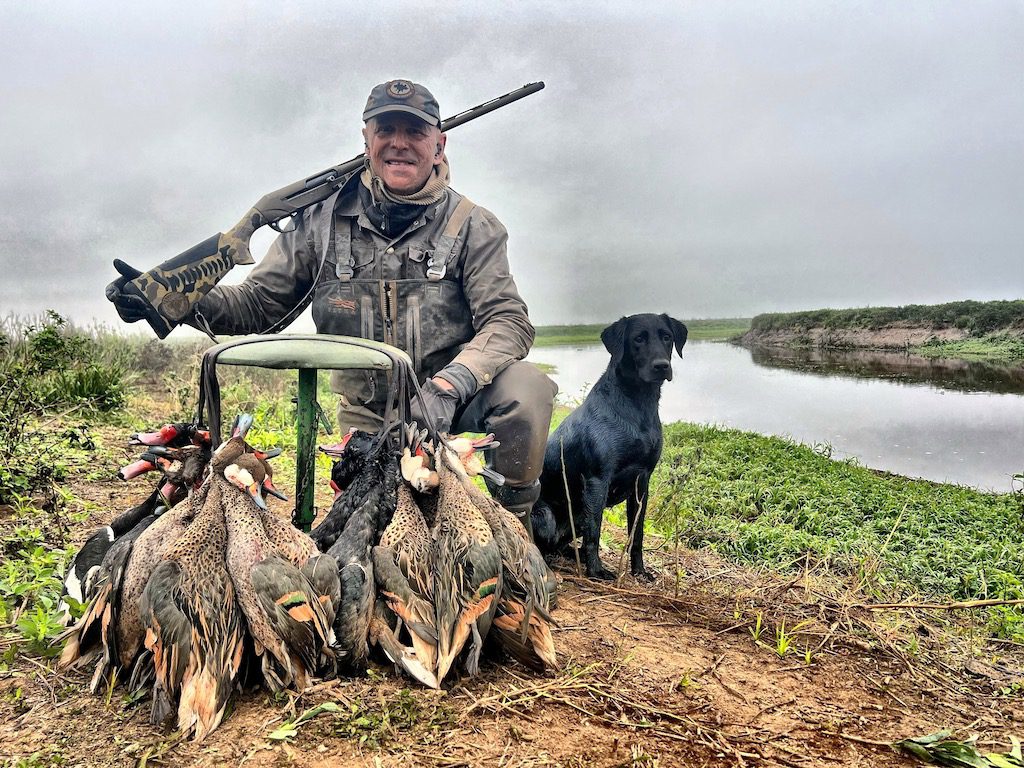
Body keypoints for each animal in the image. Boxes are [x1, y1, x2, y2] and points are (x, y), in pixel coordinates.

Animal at [528, 315, 688, 581]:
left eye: (666, 337)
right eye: (638, 339)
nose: (661, 365)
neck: (637, 406)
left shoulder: (642, 482)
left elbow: (636, 534)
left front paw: (639, 571)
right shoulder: (597, 481)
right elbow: (596, 532)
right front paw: (596, 570)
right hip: (548, 516)